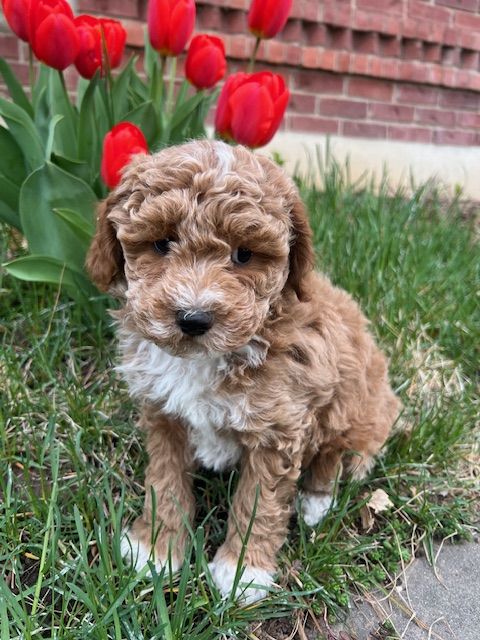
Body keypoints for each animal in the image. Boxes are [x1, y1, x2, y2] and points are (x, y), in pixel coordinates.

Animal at [86, 139, 400, 603]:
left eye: (244, 255)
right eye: (162, 244)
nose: (193, 318)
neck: (207, 357)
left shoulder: (279, 430)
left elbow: (258, 503)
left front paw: (242, 573)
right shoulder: (163, 414)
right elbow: (165, 481)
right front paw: (156, 549)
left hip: (354, 398)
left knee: (334, 452)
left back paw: (315, 502)